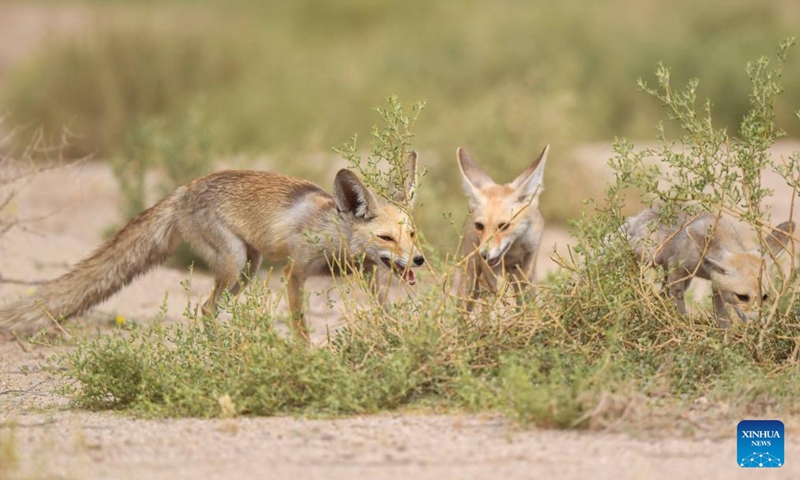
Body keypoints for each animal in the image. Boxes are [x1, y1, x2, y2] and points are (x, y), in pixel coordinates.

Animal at [0, 154, 424, 342]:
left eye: (412, 234)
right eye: (386, 238)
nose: (418, 259)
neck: (334, 236)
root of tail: (184, 188)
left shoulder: (369, 276)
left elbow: (384, 310)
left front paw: (395, 338)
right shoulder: (295, 273)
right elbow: (301, 325)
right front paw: (306, 357)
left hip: (246, 273)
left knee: (210, 308)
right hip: (235, 264)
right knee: (205, 309)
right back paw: (220, 350)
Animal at [456, 144, 552, 310]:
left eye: (504, 226)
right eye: (480, 226)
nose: (484, 254)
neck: (513, 249)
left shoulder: (530, 257)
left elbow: (526, 296)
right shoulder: (490, 271)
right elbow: (497, 300)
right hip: (470, 276)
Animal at [628, 208, 796, 324]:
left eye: (765, 297)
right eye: (742, 297)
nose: (758, 324)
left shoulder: (717, 288)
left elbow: (724, 322)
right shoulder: (676, 268)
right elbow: (680, 307)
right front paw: (683, 324)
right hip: (650, 256)